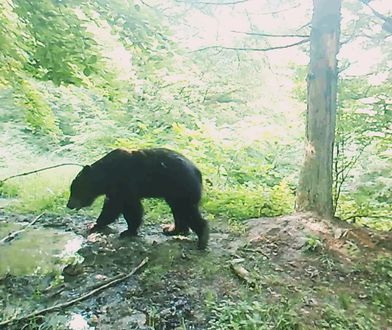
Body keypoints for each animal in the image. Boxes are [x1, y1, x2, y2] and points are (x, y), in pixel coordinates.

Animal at [66, 148, 210, 249]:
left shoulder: (123, 183)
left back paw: (202, 239)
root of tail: (198, 172)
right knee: (179, 211)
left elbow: (118, 207)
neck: (106, 175)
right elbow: (129, 207)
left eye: (74, 190)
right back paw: (172, 229)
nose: (69, 204)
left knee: (186, 210)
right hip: (174, 193)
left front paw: (96, 225)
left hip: (181, 187)